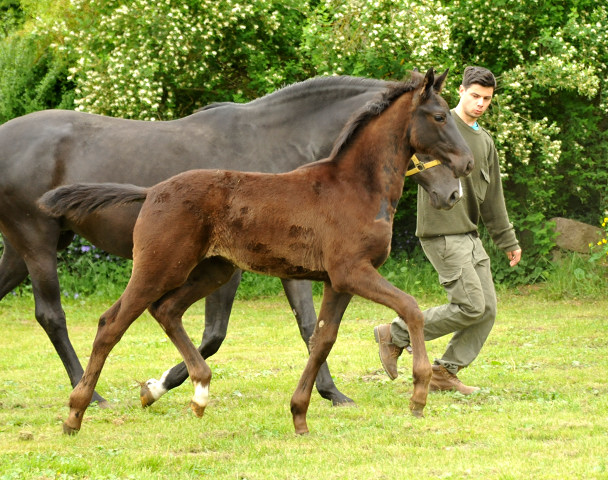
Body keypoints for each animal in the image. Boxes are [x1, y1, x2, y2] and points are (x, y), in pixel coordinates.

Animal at [39, 67, 476, 436]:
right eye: (440, 116)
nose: (466, 166)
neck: (354, 186)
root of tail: (151, 192)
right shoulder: (353, 272)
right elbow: (411, 308)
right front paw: (418, 395)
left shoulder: (338, 281)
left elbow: (321, 338)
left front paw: (300, 414)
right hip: (160, 267)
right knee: (111, 324)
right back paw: (76, 413)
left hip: (212, 270)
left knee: (167, 311)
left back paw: (196, 394)